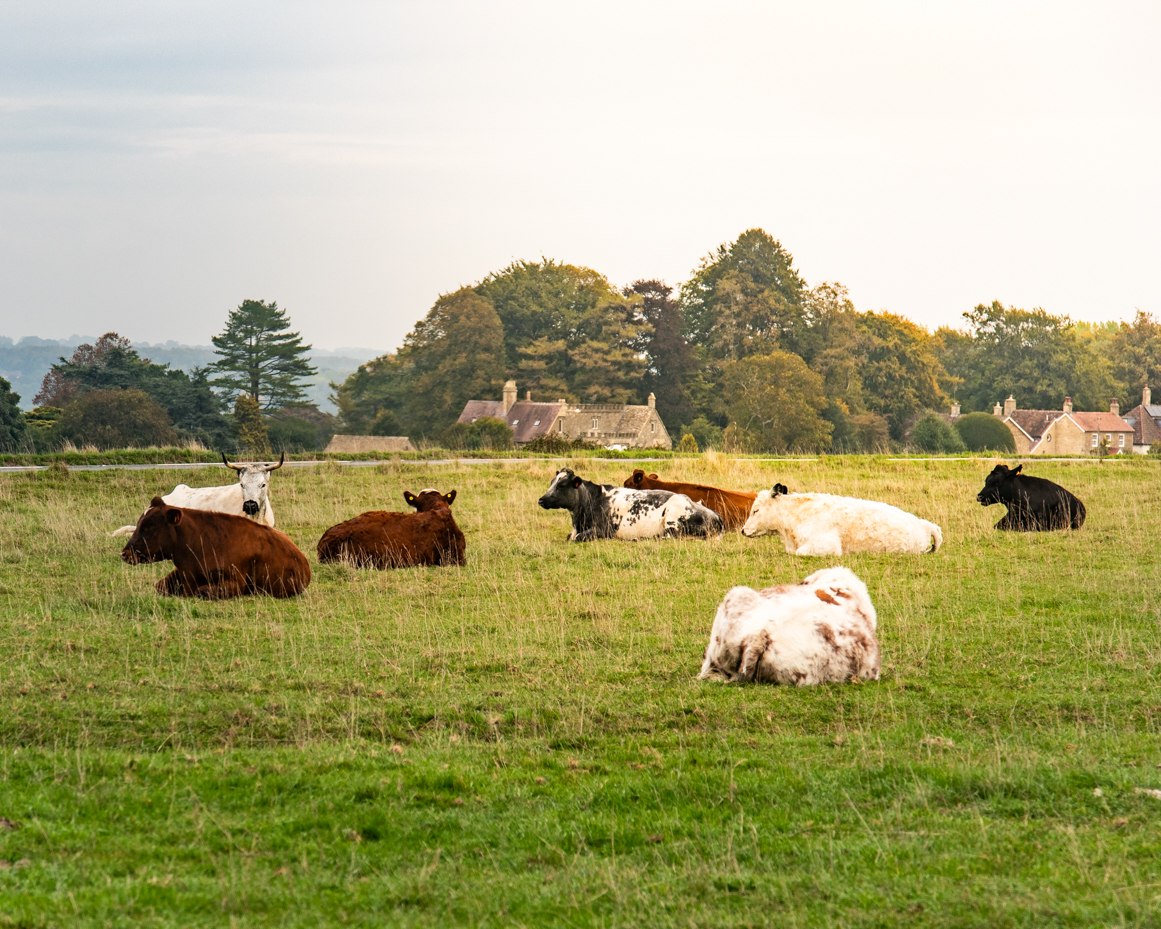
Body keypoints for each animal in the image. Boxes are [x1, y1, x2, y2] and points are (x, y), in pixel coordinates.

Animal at [538, 468, 723, 541]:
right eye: (552, 482)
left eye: (562, 485)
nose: (541, 499)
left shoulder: (604, 530)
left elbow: (577, 538)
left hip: (672, 519)